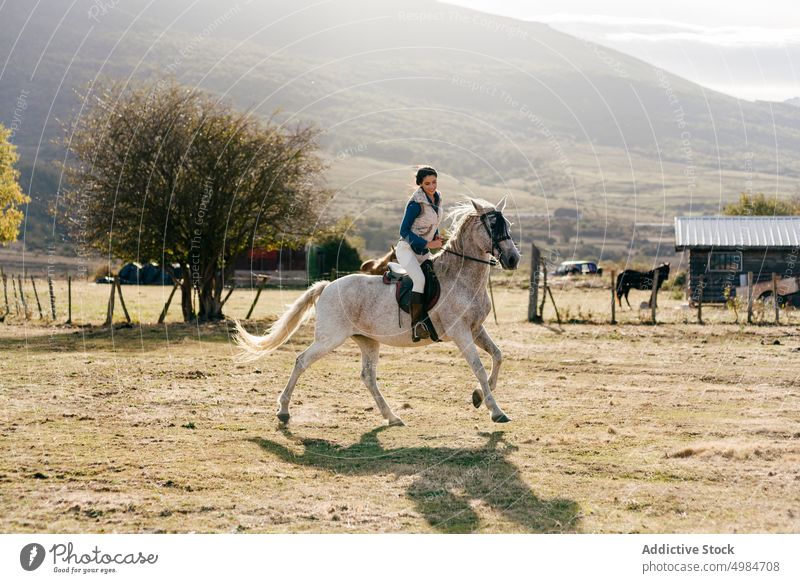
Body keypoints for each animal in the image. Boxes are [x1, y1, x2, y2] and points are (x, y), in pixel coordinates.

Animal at [231, 198, 520, 426]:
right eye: (494, 226)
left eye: (507, 225)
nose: (513, 259)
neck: (460, 277)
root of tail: (327, 286)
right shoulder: (460, 333)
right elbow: (479, 367)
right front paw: (495, 411)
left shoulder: (475, 329)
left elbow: (498, 356)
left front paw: (479, 396)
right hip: (330, 338)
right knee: (302, 361)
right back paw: (283, 411)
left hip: (368, 340)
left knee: (368, 376)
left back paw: (392, 417)